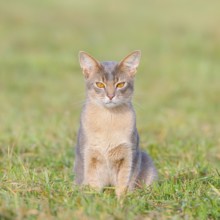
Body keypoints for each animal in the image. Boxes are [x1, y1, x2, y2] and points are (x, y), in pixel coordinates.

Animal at [74, 50, 156, 198]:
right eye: (100, 84)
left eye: (120, 84)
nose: (111, 96)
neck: (109, 120)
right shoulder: (89, 155)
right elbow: (92, 182)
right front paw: (93, 199)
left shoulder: (129, 155)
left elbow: (124, 183)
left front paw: (122, 200)